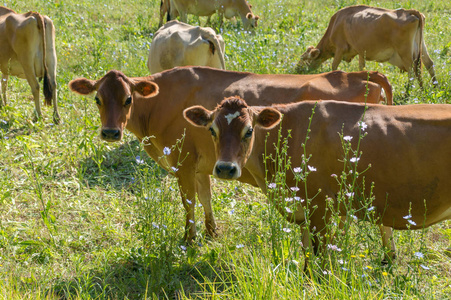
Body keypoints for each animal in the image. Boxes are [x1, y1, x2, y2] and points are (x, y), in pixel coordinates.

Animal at [69, 66, 394, 244]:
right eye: (97, 99)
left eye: (128, 99)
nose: (111, 132)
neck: (162, 102)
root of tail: (359, 74)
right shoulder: (202, 165)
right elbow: (205, 198)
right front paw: (212, 232)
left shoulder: (183, 162)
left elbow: (188, 203)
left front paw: (189, 239)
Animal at [184, 96, 451, 268]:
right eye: (212, 130)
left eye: (249, 131)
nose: (225, 168)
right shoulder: (302, 209)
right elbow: (307, 258)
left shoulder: (320, 206)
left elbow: (319, 257)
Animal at [298, 4, 440, 86]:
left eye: (303, 59)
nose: (296, 69)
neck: (336, 23)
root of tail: (409, 11)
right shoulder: (361, 51)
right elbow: (361, 67)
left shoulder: (340, 48)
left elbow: (334, 66)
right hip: (421, 46)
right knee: (428, 64)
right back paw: (432, 88)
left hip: (404, 51)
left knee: (412, 72)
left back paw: (408, 94)